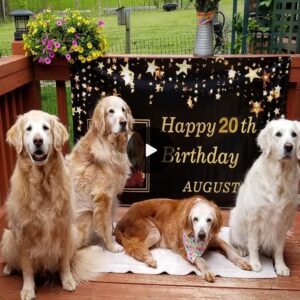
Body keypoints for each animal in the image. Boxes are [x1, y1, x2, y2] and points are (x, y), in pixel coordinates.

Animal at [0, 111, 102, 300]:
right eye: (28, 129)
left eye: (45, 128)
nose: (38, 140)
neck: (42, 182)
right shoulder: (23, 234)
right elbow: (26, 267)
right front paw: (28, 289)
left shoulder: (64, 229)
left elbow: (64, 263)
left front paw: (67, 280)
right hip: (8, 236)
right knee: (14, 260)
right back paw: (9, 268)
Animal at [67, 96, 134, 253]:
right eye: (111, 111)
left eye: (123, 110)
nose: (124, 122)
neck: (111, 145)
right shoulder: (103, 196)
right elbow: (106, 225)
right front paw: (112, 246)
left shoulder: (112, 197)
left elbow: (110, 223)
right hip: (86, 216)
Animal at [115, 196, 251, 282]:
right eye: (195, 219)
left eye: (209, 220)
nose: (201, 235)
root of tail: (122, 220)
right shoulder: (185, 249)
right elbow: (200, 259)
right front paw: (207, 270)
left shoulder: (215, 239)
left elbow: (230, 250)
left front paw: (242, 261)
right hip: (154, 232)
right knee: (136, 248)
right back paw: (149, 259)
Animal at [230, 118, 300, 276]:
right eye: (278, 134)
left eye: (294, 134)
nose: (288, 147)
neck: (280, 177)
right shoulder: (255, 218)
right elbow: (253, 245)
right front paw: (254, 263)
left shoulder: (284, 220)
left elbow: (279, 248)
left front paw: (281, 266)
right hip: (236, 220)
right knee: (239, 241)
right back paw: (242, 250)